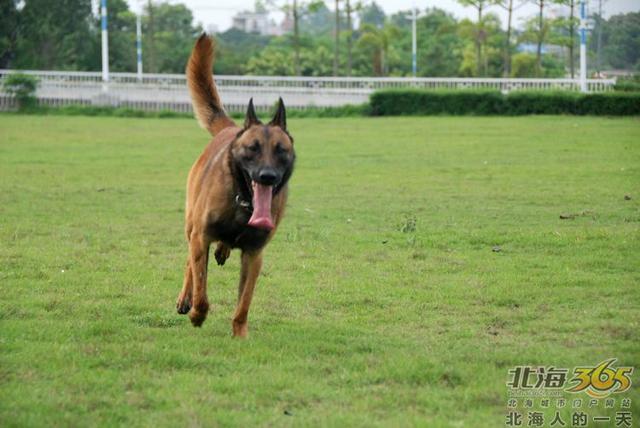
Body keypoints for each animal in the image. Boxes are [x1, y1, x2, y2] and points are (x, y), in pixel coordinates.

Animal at [175, 34, 296, 338]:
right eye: (253, 148)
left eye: (281, 150)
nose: (267, 176)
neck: (244, 202)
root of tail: (231, 128)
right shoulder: (201, 237)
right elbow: (202, 290)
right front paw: (197, 314)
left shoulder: (254, 255)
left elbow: (244, 303)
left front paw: (240, 334)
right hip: (191, 224)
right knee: (190, 262)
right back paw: (185, 298)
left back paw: (223, 249)